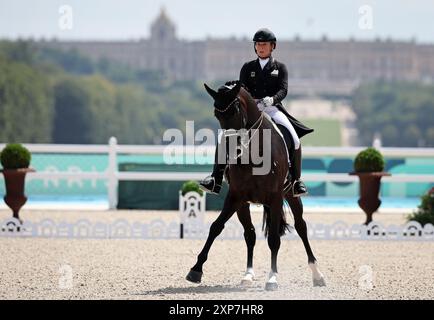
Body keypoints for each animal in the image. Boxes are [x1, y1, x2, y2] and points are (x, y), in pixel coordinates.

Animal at [185, 82, 324, 290]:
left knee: (301, 227)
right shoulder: (236, 197)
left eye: (234, 111)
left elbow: (274, 239)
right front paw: (196, 270)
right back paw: (248, 275)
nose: (231, 151)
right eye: (216, 114)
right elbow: (216, 227)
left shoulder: (275, 197)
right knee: (250, 235)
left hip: (290, 196)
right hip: (245, 204)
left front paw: (272, 278)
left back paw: (317, 274)